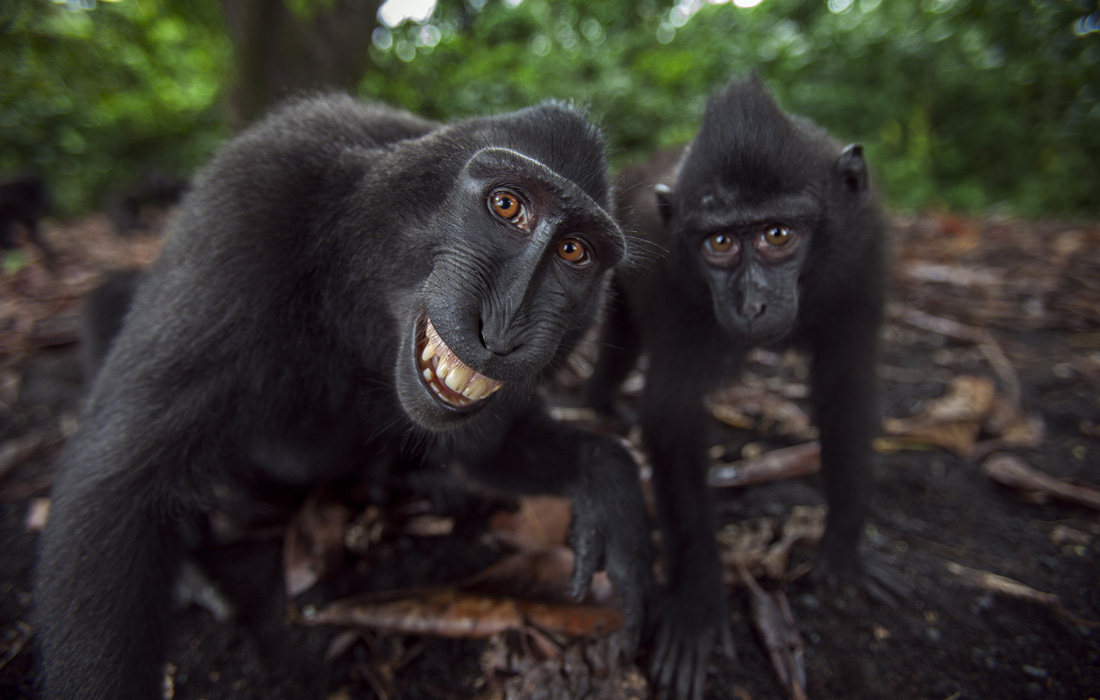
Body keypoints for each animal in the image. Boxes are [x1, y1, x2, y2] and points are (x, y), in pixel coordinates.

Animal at [36, 94, 655, 700]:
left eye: (573, 251)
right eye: (506, 205)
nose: (505, 327)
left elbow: (492, 449)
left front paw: (610, 480)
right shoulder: (254, 197)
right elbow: (117, 483)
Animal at [586, 75, 893, 700]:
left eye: (778, 233)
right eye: (720, 243)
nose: (751, 304)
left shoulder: (861, 254)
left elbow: (845, 388)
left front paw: (843, 550)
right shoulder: (671, 278)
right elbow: (671, 415)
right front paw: (699, 603)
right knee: (620, 338)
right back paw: (599, 403)